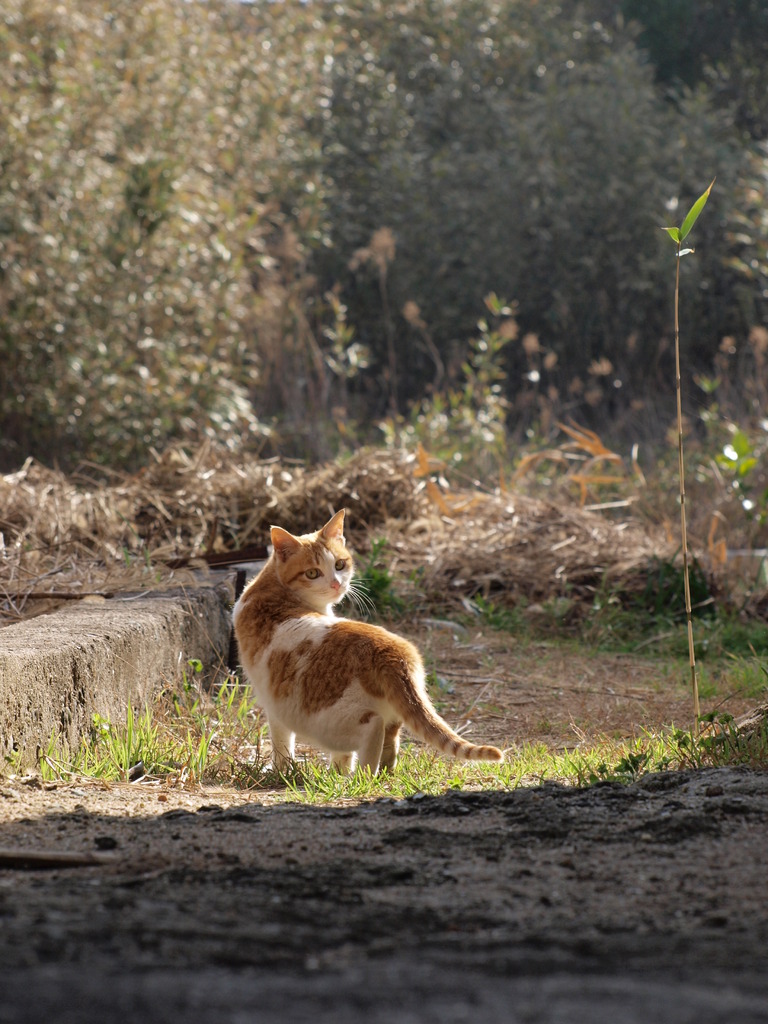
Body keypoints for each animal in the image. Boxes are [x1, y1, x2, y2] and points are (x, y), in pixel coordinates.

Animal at [234, 507, 505, 770]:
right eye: (312, 573)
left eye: (340, 565)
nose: (336, 584)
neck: (273, 588)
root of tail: (393, 652)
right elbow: (339, 758)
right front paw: (337, 773)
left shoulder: (275, 709)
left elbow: (282, 745)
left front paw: (282, 771)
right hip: (385, 714)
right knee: (389, 742)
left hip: (327, 720)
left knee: (371, 730)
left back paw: (363, 777)